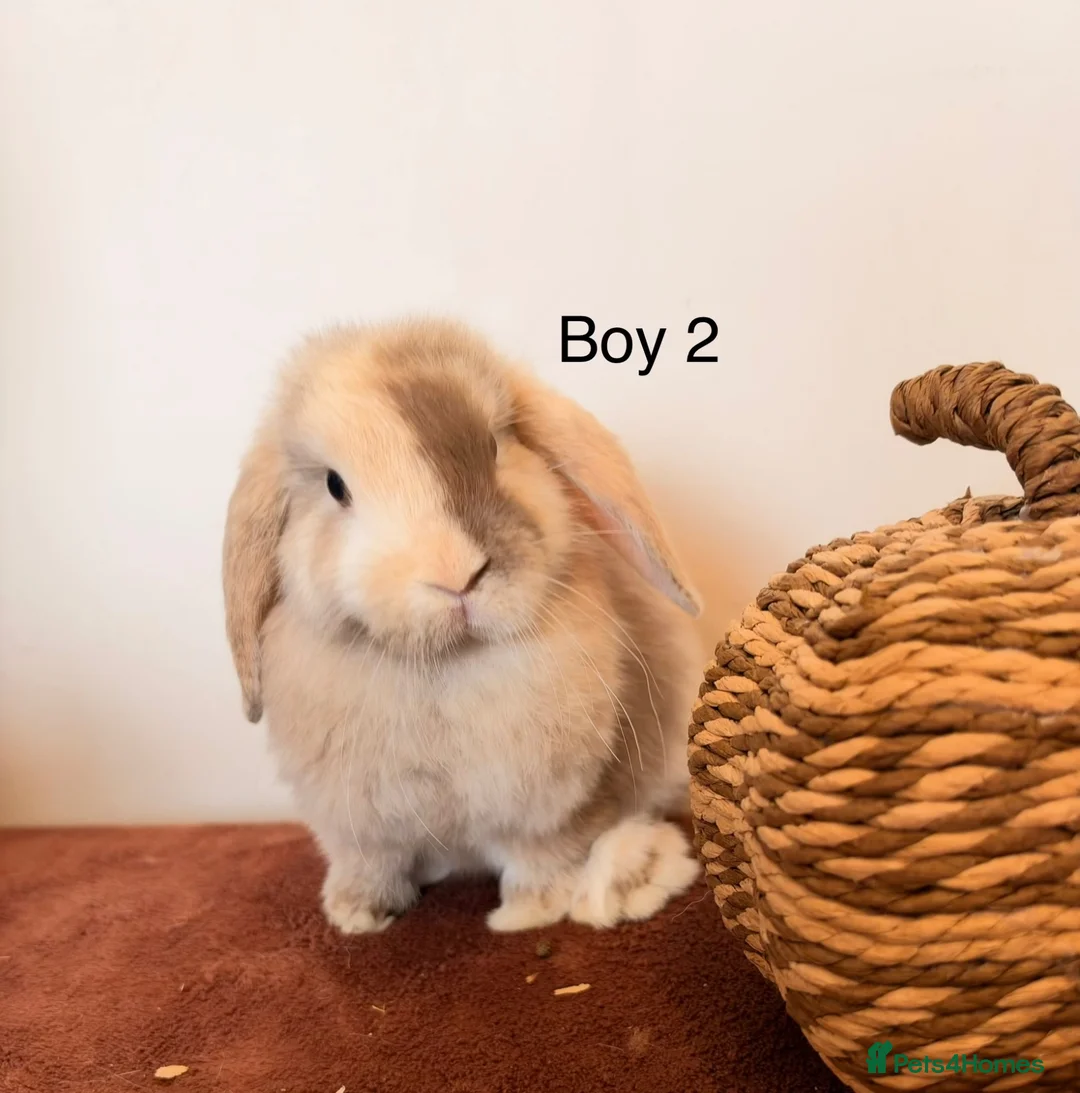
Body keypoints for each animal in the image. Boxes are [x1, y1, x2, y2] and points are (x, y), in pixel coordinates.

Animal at [222, 318, 706, 934]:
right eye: (334, 486)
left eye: (495, 446)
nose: (458, 576)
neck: (445, 663)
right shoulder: (359, 827)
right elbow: (372, 863)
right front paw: (357, 915)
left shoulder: (550, 812)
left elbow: (543, 855)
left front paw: (532, 912)